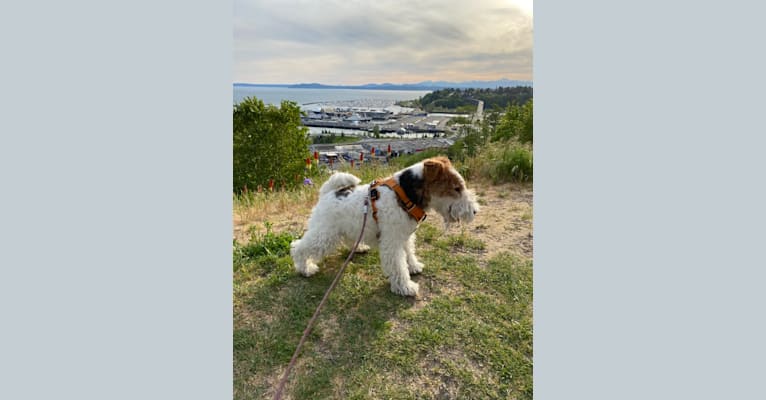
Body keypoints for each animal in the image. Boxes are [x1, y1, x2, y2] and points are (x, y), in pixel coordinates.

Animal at [292, 156, 480, 296]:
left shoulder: (405, 235)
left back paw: (359, 247)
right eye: (456, 188)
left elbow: (409, 253)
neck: (405, 195)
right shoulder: (393, 241)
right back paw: (305, 268)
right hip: (325, 235)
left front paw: (414, 266)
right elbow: (398, 266)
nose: (475, 211)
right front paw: (406, 287)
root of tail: (328, 192)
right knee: (298, 247)